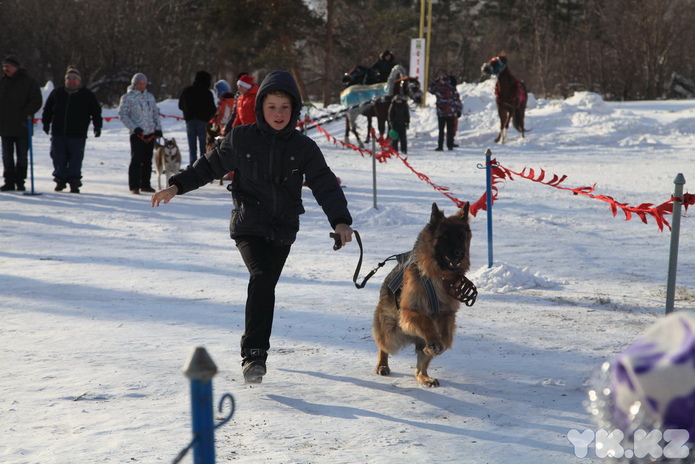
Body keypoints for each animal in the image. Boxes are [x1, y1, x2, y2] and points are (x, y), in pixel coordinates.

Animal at [376, 201, 474, 386]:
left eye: (461, 237)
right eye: (445, 237)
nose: (460, 253)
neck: (437, 275)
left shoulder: (447, 314)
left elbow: (446, 339)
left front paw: (434, 347)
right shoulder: (410, 311)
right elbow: (426, 322)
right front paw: (434, 342)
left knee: (419, 365)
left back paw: (424, 376)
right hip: (390, 334)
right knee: (383, 346)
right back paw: (382, 364)